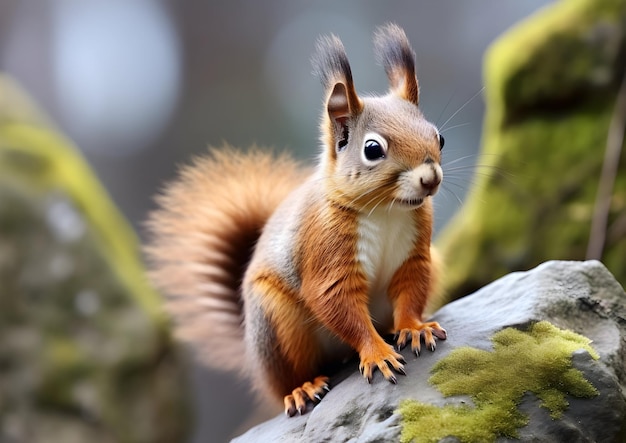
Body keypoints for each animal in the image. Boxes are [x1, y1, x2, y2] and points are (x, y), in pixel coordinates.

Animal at [144, 23, 446, 420]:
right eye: (372, 149)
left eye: (439, 136)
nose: (431, 178)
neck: (386, 210)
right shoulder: (325, 252)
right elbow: (339, 306)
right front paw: (377, 353)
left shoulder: (415, 254)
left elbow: (411, 291)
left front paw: (414, 328)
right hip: (275, 322)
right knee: (287, 379)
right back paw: (303, 388)